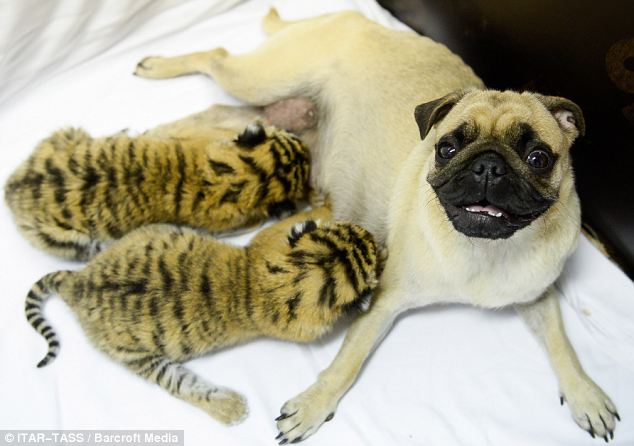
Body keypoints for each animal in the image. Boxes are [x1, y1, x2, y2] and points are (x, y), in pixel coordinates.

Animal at [135, 6, 616, 442]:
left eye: (538, 158)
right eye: (446, 147)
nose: (489, 167)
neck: (487, 251)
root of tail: (353, 18)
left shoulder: (538, 297)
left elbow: (563, 344)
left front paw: (585, 394)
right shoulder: (385, 301)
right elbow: (348, 362)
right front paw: (314, 405)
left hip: (275, 114)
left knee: (220, 110)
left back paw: (157, 131)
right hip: (263, 77)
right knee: (216, 57)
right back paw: (157, 71)